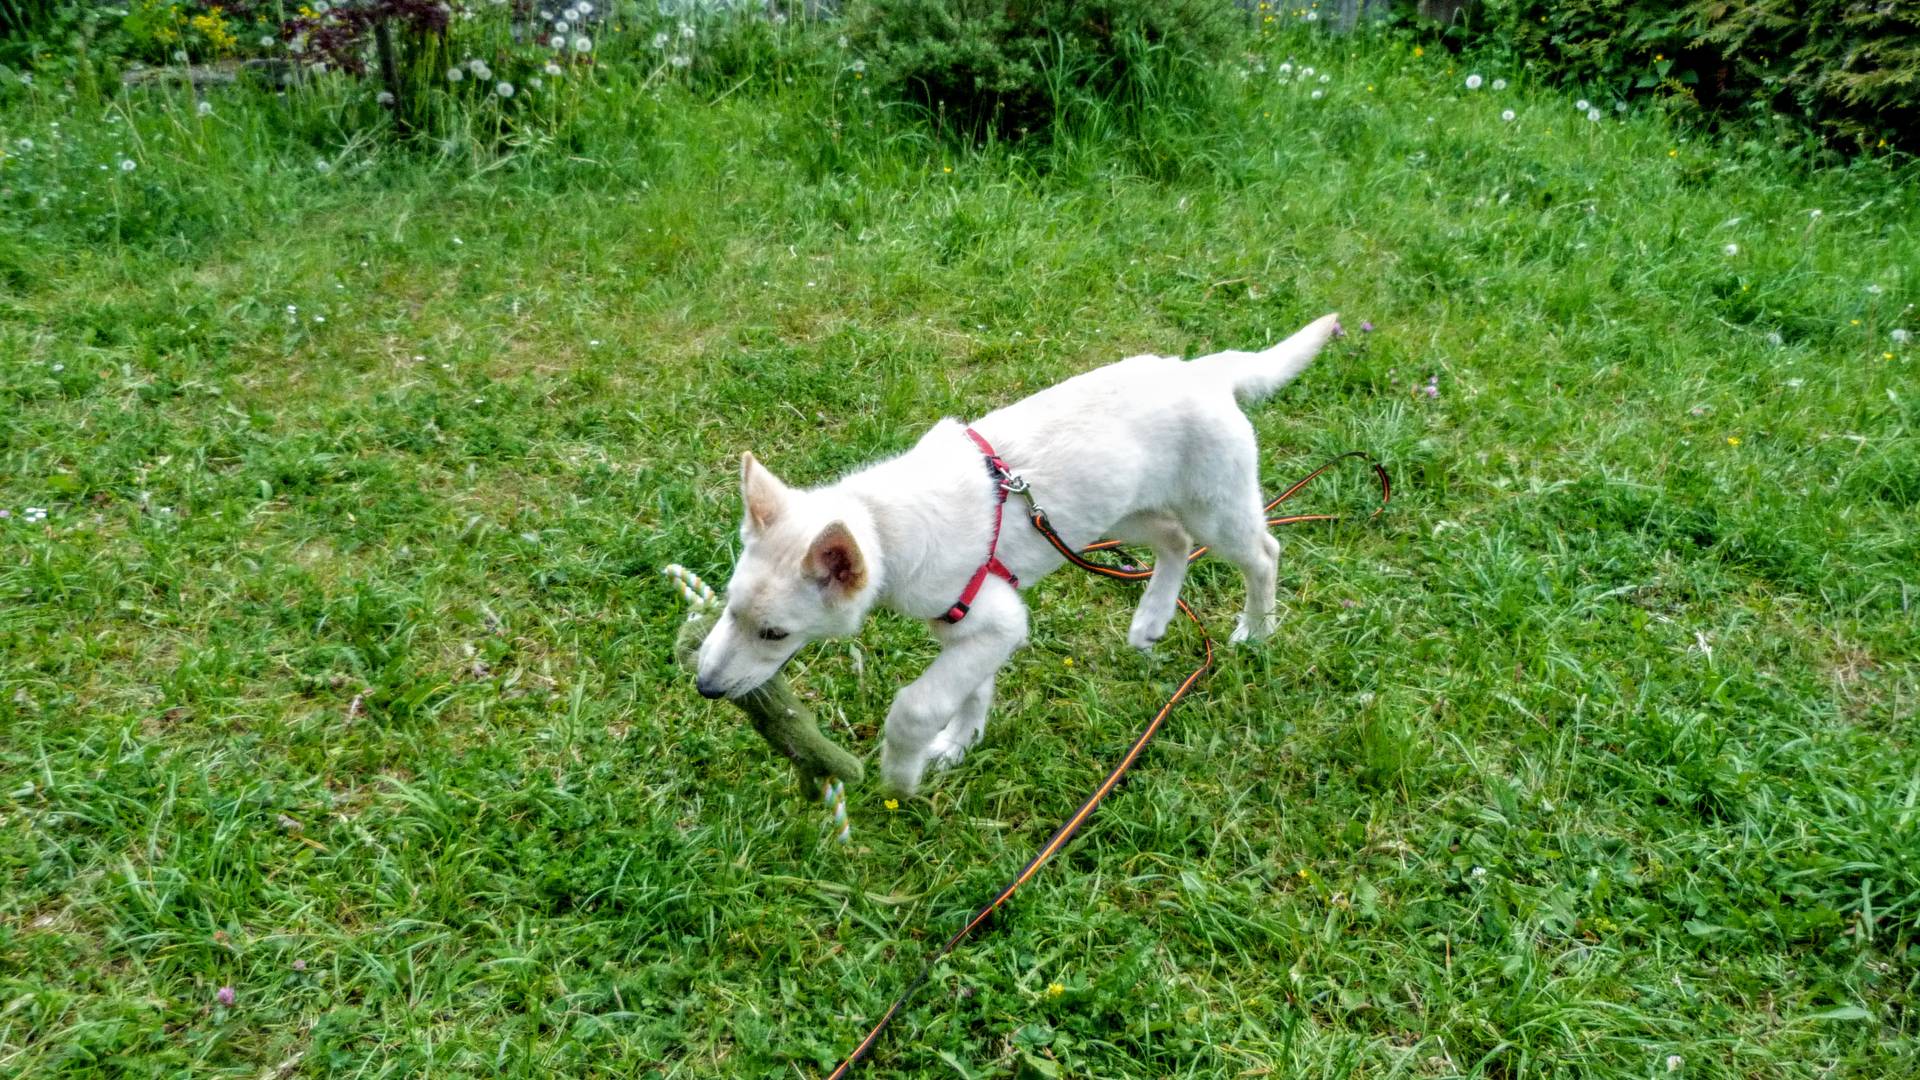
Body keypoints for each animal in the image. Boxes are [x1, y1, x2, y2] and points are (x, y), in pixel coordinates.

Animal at [698, 311, 1344, 791]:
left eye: (775, 634)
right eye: (728, 608)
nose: (704, 688)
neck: (882, 523)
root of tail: (1202, 371)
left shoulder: (997, 622)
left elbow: (915, 706)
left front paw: (902, 773)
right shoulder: (970, 626)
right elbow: (970, 693)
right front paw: (958, 745)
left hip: (1216, 510)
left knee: (1263, 552)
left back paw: (1256, 630)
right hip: (1119, 512)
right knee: (1173, 541)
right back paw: (1152, 618)